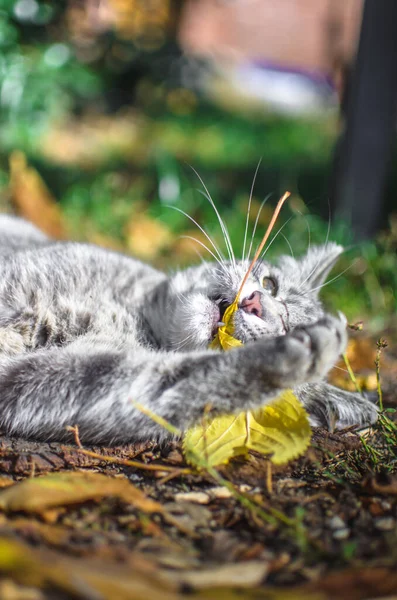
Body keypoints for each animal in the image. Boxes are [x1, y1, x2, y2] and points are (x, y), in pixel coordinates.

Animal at [0, 213, 378, 442]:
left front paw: (302, 353)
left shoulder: (45, 384)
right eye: (271, 284)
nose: (255, 303)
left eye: (286, 326)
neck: (133, 317)